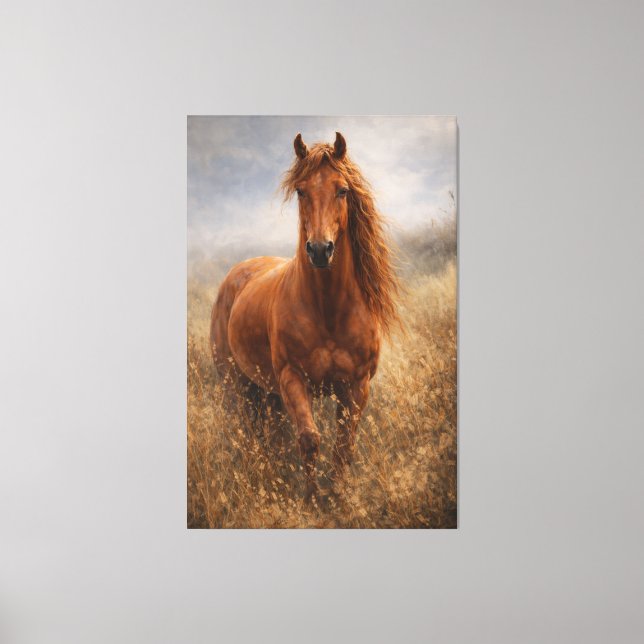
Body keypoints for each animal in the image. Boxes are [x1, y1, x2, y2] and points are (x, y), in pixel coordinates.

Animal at [210, 132, 401, 501]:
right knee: (251, 433)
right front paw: (312, 499)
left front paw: (338, 495)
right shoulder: (292, 378)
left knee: (271, 435)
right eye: (301, 190)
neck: (328, 311)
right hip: (238, 387)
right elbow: (310, 440)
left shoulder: (357, 386)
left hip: (267, 393)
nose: (319, 250)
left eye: (342, 190)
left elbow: (344, 444)